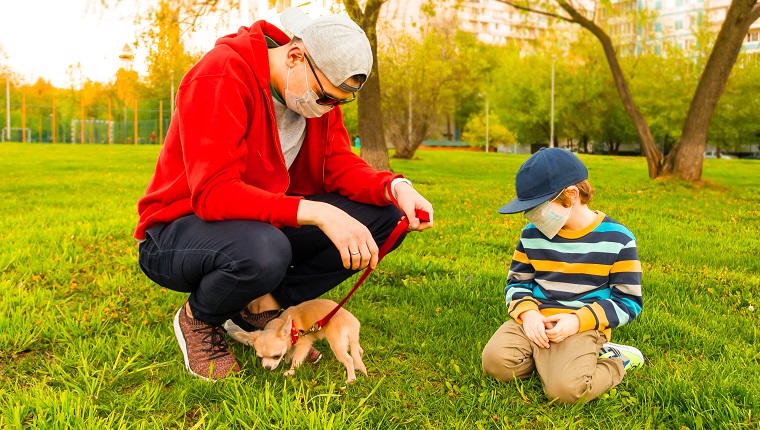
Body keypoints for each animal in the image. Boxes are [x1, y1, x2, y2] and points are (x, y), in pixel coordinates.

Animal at [235, 298, 372, 382]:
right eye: (259, 357)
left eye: (276, 356)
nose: (267, 368)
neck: (285, 323)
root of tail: (351, 322)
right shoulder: (291, 344)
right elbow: (289, 352)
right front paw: (287, 361)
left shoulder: (304, 344)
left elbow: (296, 360)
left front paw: (290, 371)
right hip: (349, 342)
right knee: (358, 351)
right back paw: (356, 367)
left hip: (337, 343)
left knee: (348, 359)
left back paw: (351, 380)